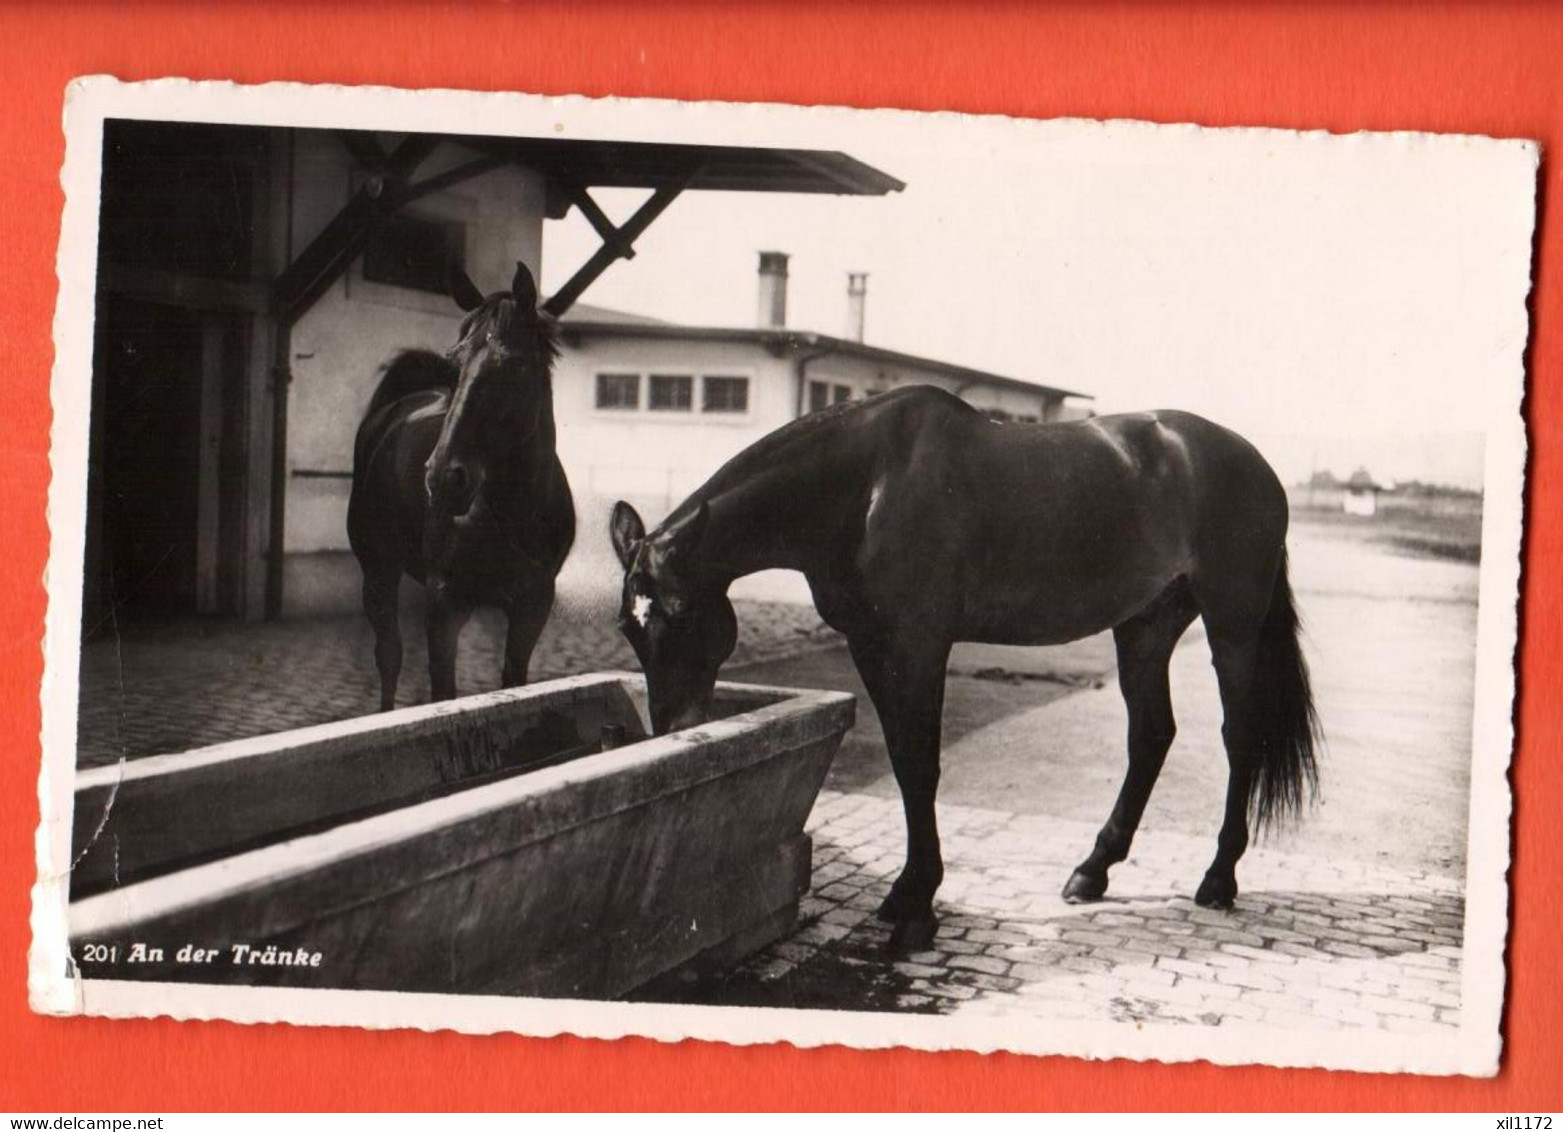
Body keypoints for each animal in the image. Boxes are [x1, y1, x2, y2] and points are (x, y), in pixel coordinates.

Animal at [348, 262, 575, 712]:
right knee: (389, 655)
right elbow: (443, 691)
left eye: (515, 365)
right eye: (455, 365)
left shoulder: (532, 605)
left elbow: (514, 681)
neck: (516, 515)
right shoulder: (446, 604)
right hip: (378, 567)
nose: (442, 478)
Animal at [609, 384, 1319, 950]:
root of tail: (1255, 465)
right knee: (1151, 735)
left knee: (1238, 737)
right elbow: (903, 761)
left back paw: (1218, 879)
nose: (676, 729)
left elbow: (922, 765)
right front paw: (906, 894)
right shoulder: (871, 645)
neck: (864, 486)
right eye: (628, 626)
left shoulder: (920, 643)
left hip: (1232, 625)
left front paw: (917, 909)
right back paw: (1092, 870)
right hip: (1145, 628)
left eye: (680, 611)